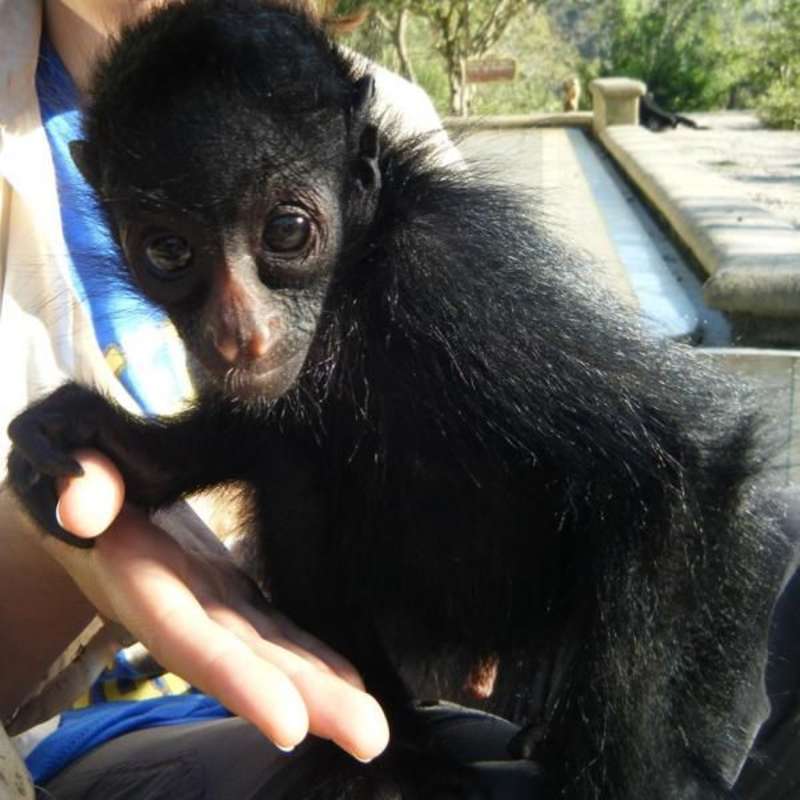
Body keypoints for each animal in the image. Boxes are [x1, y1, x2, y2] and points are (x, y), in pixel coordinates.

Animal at [6, 1, 794, 798]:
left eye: (287, 230)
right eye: (167, 251)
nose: (239, 331)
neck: (355, 285)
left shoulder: (446, 273)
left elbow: (693, 463)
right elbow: (266, 422)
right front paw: (123, 448)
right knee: (297, 462)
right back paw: (398, 755)